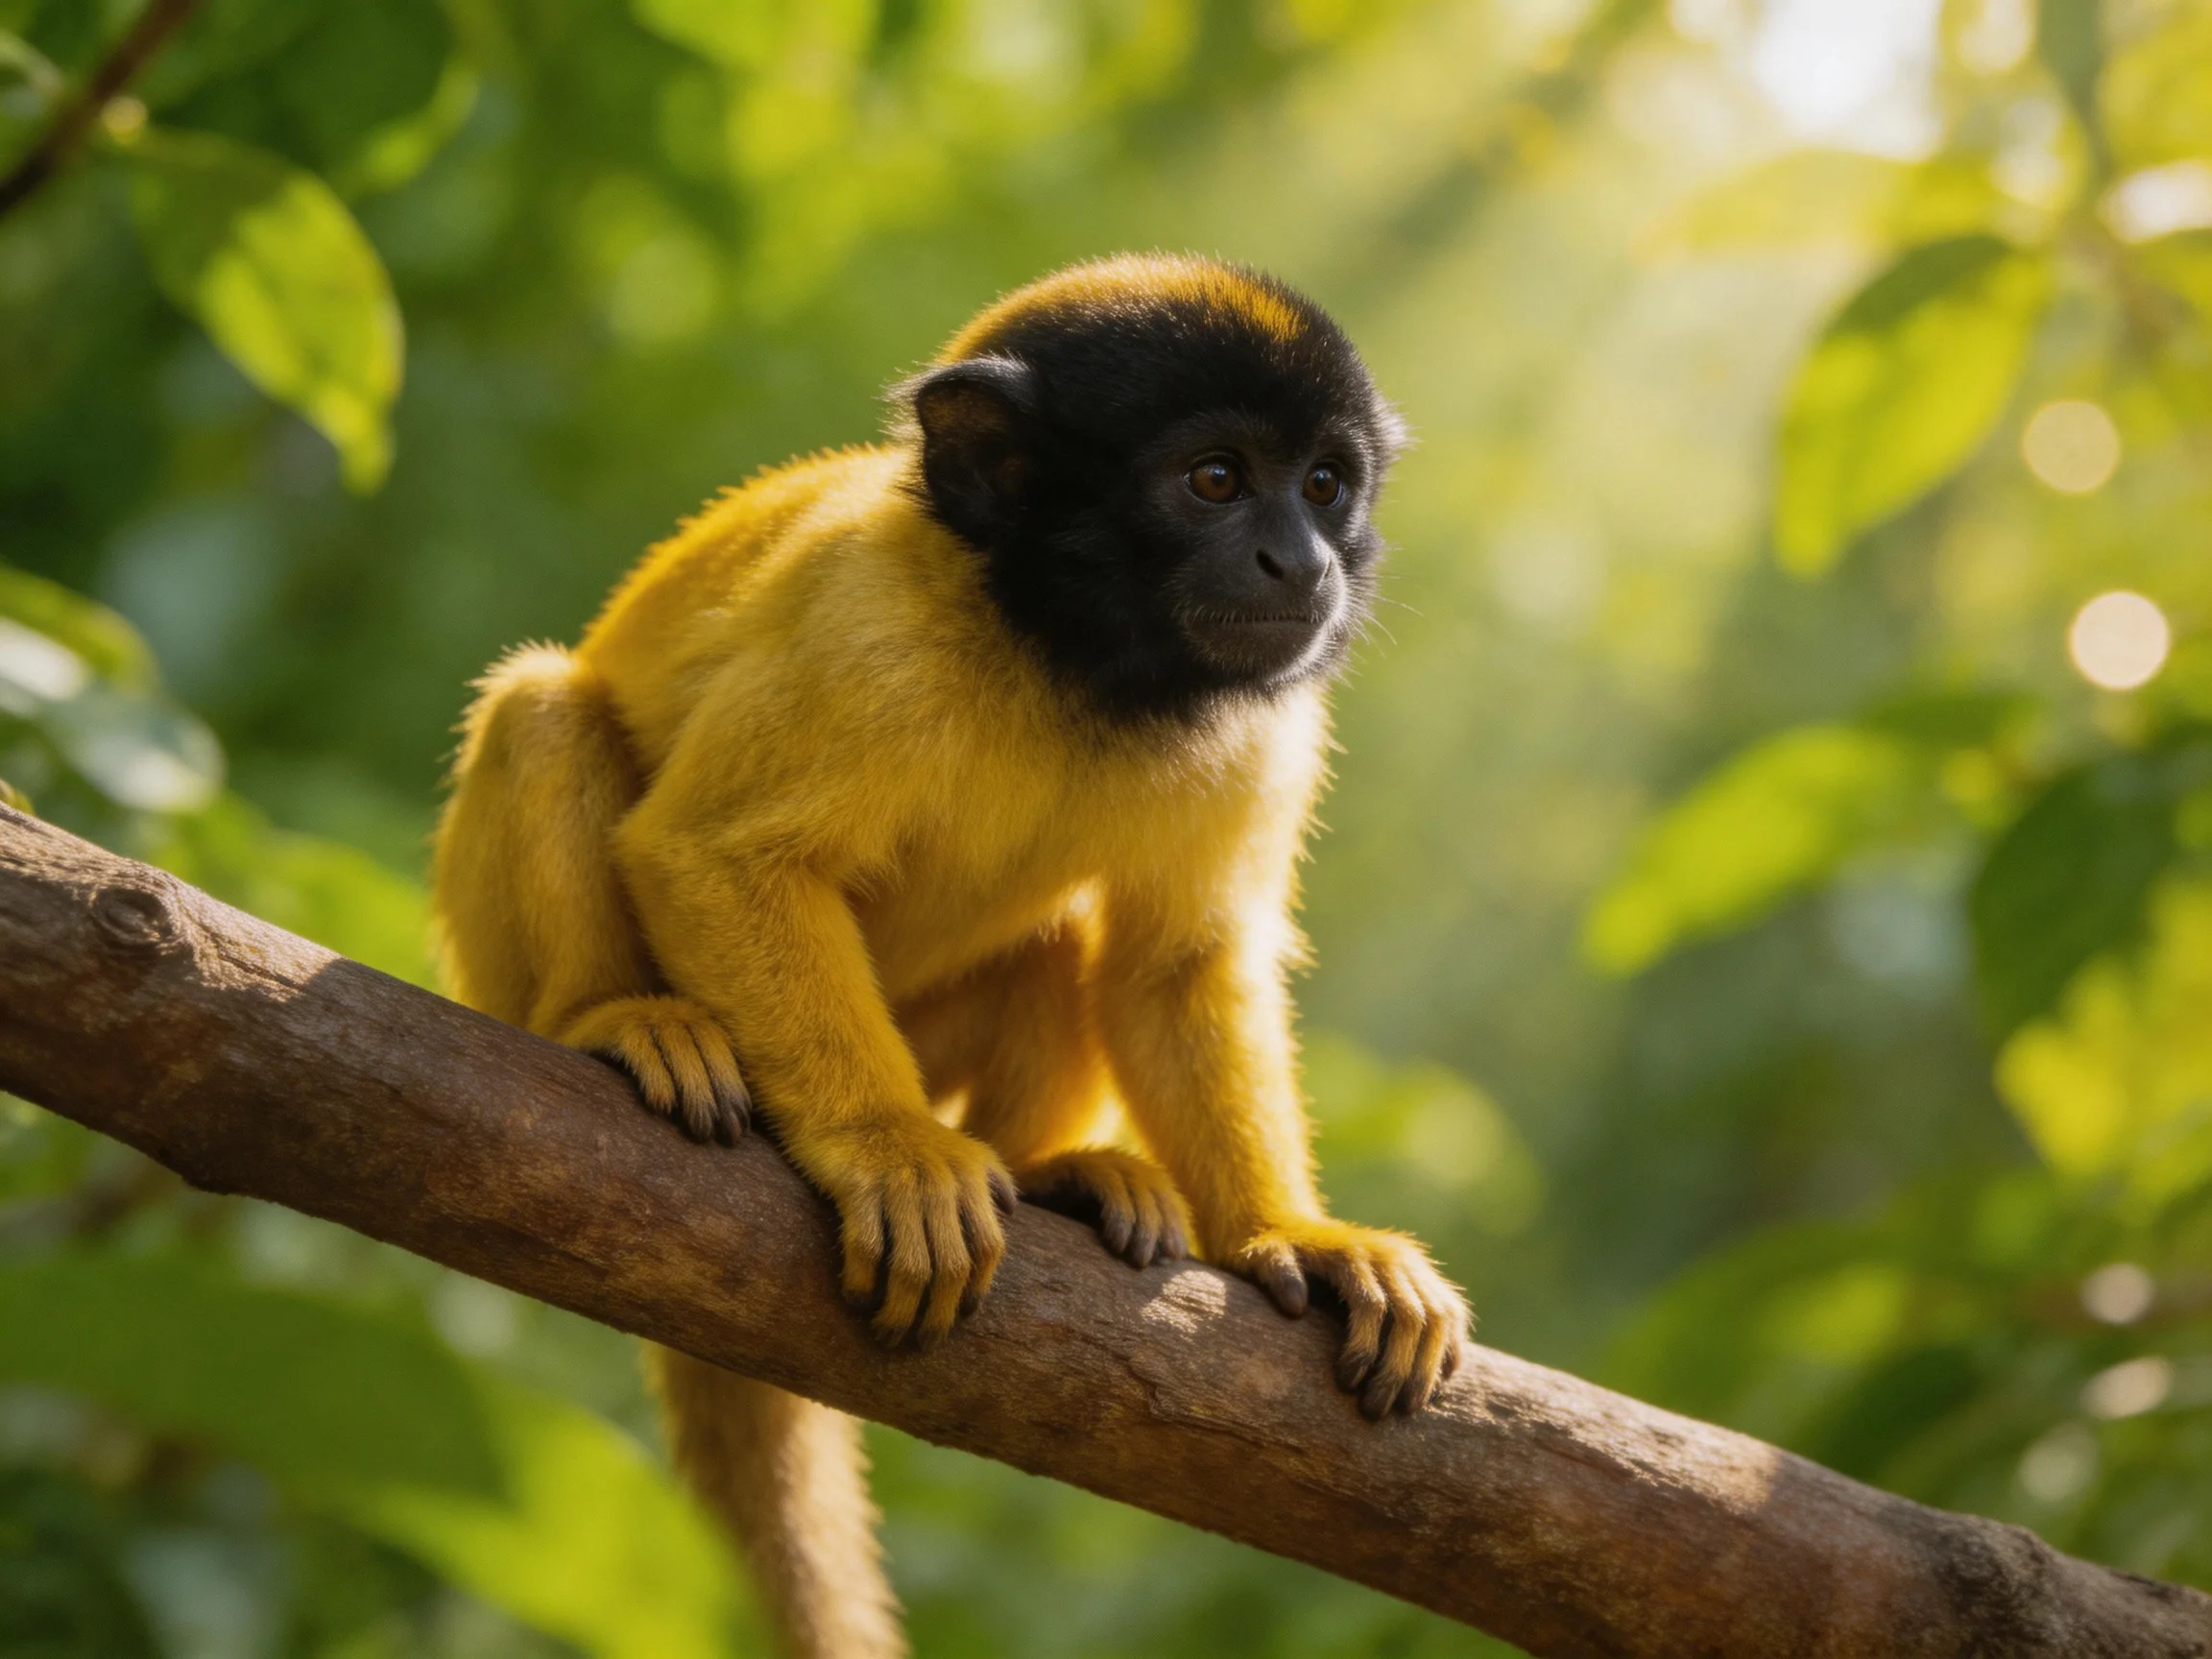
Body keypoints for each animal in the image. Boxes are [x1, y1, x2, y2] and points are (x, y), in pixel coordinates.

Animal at [431, 253, 1470, 1659]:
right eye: (1214, 479)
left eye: (1322, 485)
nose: (1299, 562)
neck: (1060, 643)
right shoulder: (865, 629)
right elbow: (719, 854)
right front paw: (891, 1152)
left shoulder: (1267, 714)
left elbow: (1177, 962)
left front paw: (1289, 1232)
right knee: (547, 709)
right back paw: (608, 1018)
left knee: (1064, 940)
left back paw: (1049, 1173)